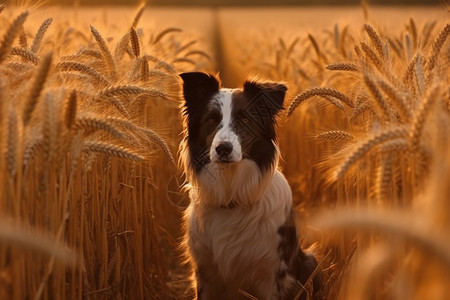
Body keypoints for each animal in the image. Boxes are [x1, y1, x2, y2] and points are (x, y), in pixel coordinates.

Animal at [179, 72, 320, 300]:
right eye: (211, 120)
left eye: (245, 119)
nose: (223, 148)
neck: (231, 196)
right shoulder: (205, 272)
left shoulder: (271, 275)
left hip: (309, 262)